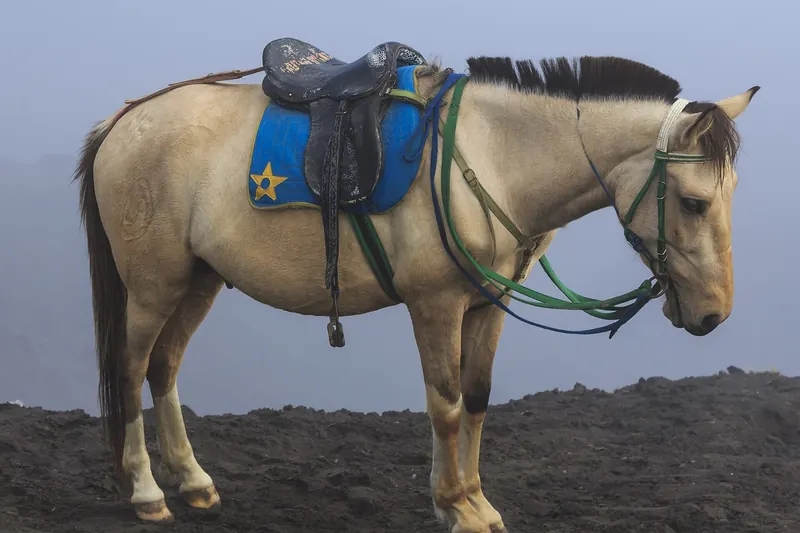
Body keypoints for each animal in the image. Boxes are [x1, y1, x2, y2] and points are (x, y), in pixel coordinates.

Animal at [73, 38, 758, 533]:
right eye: (694, 203)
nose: (714, 313)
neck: (494, 157)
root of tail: (125, 119)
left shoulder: (489, 305)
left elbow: (476, 399)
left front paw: (475, 500)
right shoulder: (435, 305)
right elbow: (446, 405)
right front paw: (455, 506)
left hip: (199, 280)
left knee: (164, 366)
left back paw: (193, 483)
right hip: (154, 285)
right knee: (131, 367)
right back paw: (147, 492)